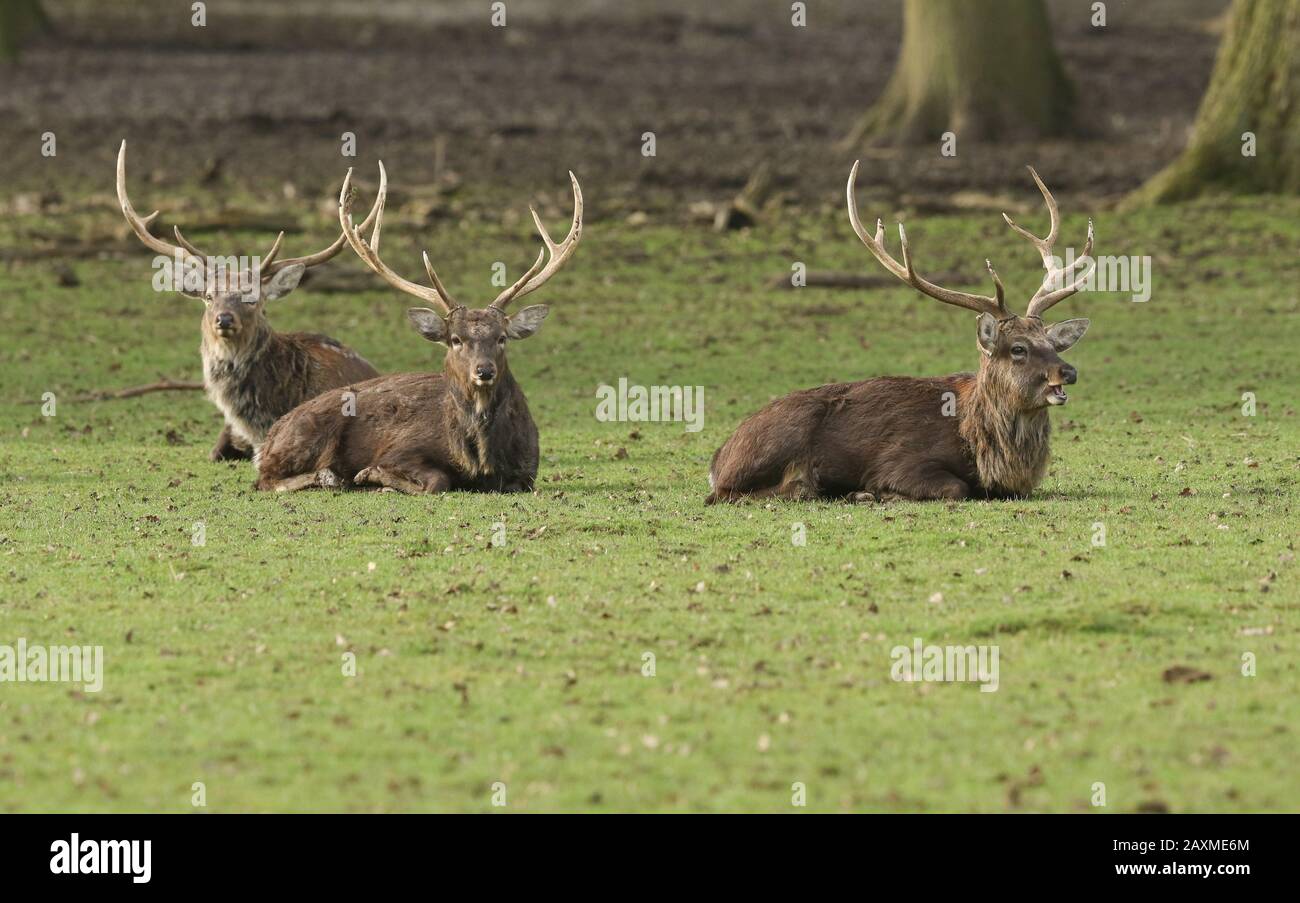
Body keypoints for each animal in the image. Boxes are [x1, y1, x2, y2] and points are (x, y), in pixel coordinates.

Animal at [253, 162, 582, 494]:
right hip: (306, 433)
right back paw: (330, 476)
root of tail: (267, 439)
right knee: (266, 479)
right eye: (455, 339)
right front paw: (373, 475)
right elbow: (437, 480)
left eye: (502, 338)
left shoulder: (526, 471)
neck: (479, 461)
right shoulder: (401, 448)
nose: (484, 370)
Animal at [706, 163, 1095, 504]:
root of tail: (718, 457)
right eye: (1018, 349)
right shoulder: (899, 460)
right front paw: (880, 492)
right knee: (728, 495)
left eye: (1052, 343)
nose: (1068, 371)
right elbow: (955, 488)